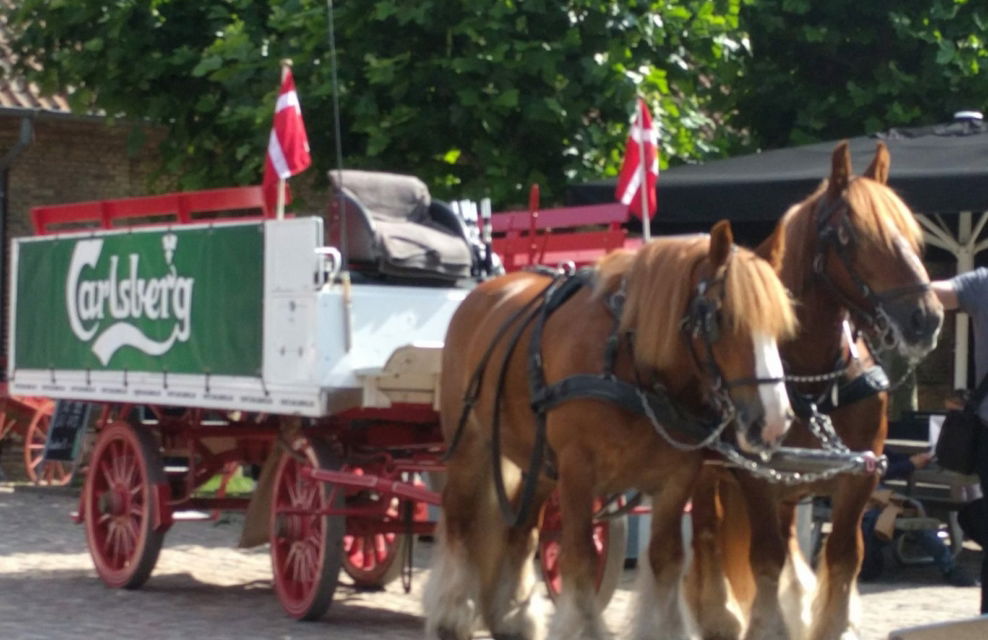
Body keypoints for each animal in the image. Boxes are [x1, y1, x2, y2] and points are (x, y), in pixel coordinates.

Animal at [424, 220, 798, 640]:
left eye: (780, 329)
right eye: (719, 318)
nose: (774, 420)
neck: (631, 366)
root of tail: (482, 292)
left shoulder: (676, 479)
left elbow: (667, 559)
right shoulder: (578, 469)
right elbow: (581, 557)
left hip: (540, 462)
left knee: (522, 531)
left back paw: (513, 617)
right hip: (470, 446)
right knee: (459, 520)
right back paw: (452, 612)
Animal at [686, 142, 944, 640]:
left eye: (909, 232)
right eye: (850, 235)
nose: (926, 318)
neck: (811, 381)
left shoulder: (859, 475)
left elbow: (844, 557)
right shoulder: (756, 477)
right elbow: (764, 559)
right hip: (708, 473)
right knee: (707, 534)